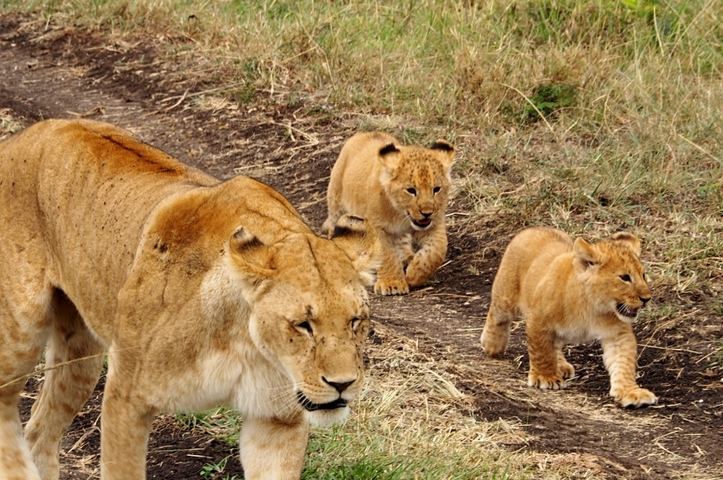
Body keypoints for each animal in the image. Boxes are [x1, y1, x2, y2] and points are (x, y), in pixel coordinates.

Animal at [0, 119, 381, 480]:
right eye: (303, 325)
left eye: (355, 321)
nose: (343, 385)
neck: (245, 342)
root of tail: (24, 135)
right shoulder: (126, 397)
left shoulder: (276, 421)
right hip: (21, 332)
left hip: (81, 353)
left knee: (40, 432)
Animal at [322, 132, 455, 295]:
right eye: (411, 190)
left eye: (436, 189)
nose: (427, 213)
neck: (400, 213)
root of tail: (366, 133)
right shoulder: (377, 227)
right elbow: (386, 256)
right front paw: (392, 284)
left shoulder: (434, 224)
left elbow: (437, 251)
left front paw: (414, 275)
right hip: (336, 199)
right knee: (333, 222)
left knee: (403, 241)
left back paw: (407, 258)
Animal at [480, 227, 657, 408]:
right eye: (625, 277)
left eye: (643, 275)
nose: (647, 298)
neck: (592, 306)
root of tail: (534, 228)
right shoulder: (539, 320)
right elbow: (542, 351)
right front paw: (546, 377)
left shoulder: (617, 335)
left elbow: (623, 362)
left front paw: (631, 392)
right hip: (507, 295)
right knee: (497, 313)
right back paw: (492, 344)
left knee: (555, 344)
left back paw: (562, 366)